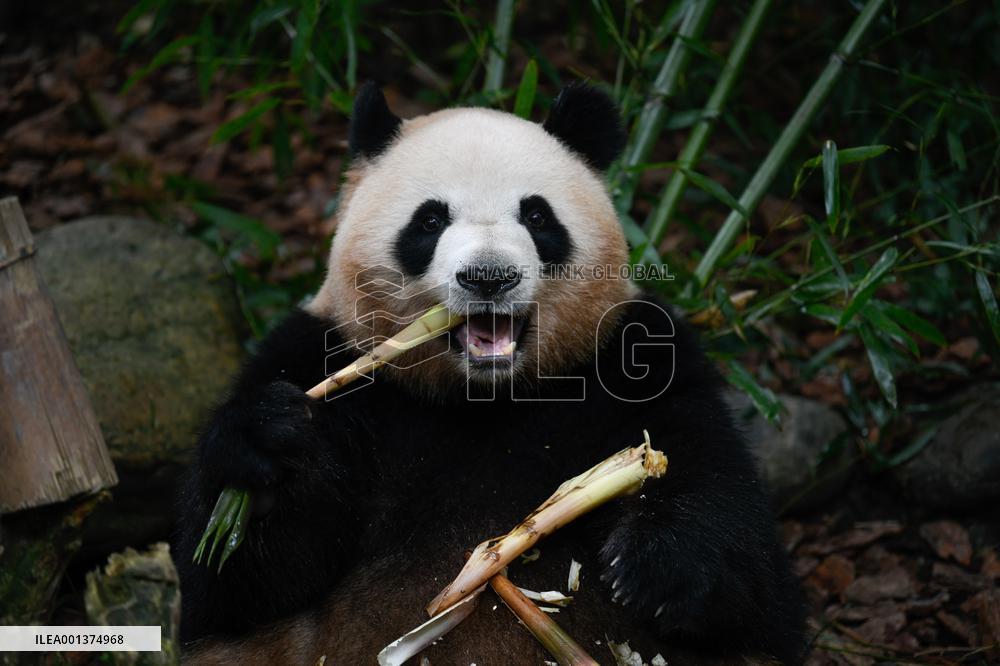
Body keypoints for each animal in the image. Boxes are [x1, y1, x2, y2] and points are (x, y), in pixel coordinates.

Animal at [175, 82, 806, 665]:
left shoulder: (636, 356)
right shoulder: (321, 356)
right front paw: (264, 451)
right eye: (430, 220)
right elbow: (239, 586)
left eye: (536, 214)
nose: (488, 276)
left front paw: (654, 569)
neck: (484, 396)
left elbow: (736, 536)